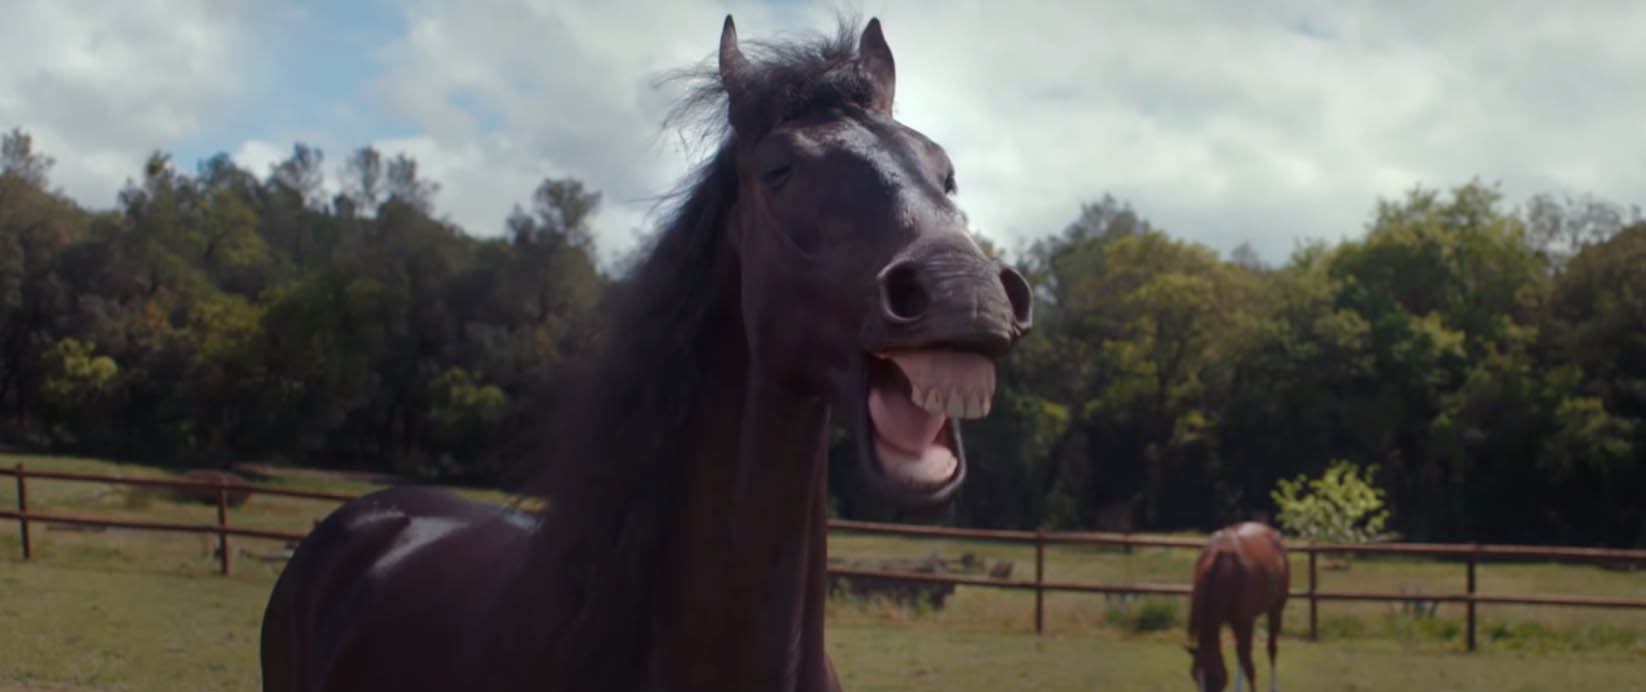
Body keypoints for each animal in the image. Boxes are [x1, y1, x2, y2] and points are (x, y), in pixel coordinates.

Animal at [1183, 521, 1291, 692]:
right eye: (1194, 675)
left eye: (1214, 677)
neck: (1225, 568)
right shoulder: (1236, 620)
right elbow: (1242, 658)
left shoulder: (1244, 620)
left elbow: (1249, 666)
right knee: (1241, 654)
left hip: (1276, 610)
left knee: (1271, 649)